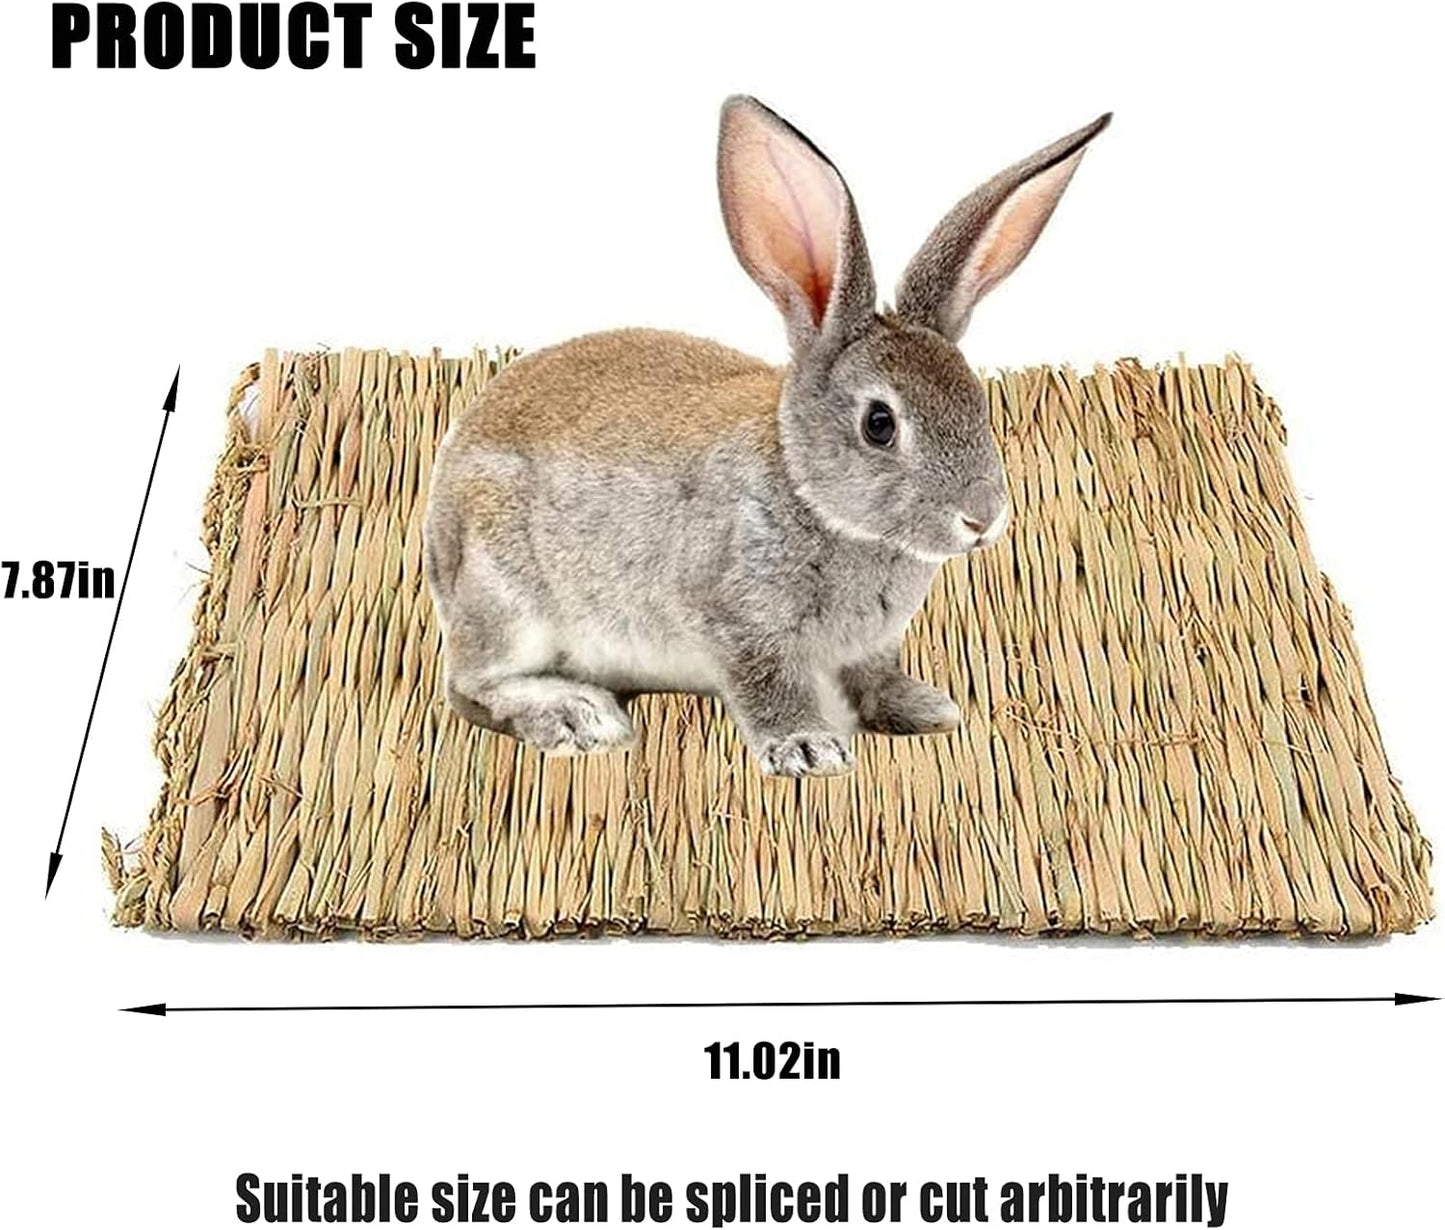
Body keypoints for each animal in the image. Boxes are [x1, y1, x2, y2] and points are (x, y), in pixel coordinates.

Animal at [424, 96, 1109, 777]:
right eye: (880, 425)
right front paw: (807, 748)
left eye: (978, 404)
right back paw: (577, 716)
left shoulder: (870, 647)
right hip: (508, 599)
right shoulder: (737, 621)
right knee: (471, 686)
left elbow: (873, 678)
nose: (982, 519)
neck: (810, 494)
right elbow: (767, 684)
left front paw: (921, 709)